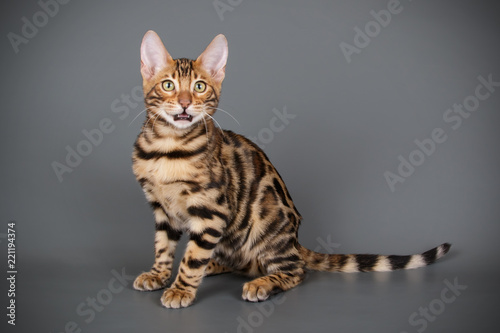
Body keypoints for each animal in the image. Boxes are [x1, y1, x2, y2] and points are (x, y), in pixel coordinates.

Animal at [130, 29, 450, 308]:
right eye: (168, 85)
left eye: (199, 87)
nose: (185, 104)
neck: (167, 148)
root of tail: (295, 242)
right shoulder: (162, 209)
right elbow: (164, 246)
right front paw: (159, 275)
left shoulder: (211, 211)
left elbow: (193, 257)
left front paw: (181, 289)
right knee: (240, 262)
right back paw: (216, 264)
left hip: (265, 227)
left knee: (295, 270)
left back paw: (261, 283)